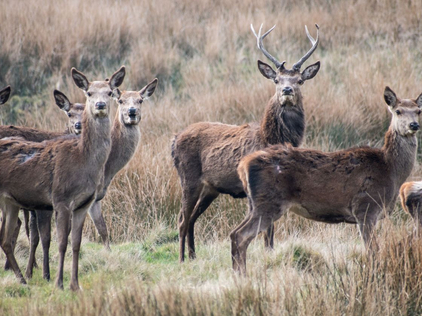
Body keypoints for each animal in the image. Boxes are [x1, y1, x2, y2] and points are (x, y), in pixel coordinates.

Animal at [0, 65, 125, 290]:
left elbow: (76, 243)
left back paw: (22, 280)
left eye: (110, 93)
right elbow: (61, 242)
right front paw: (58, 282)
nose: (100, 105)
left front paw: (75, 285)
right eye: (89, 93)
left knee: (4, 239)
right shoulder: (60, 199)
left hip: (9, 202)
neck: (82, 161)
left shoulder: (83, 204)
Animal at [171, 24, 320, 262]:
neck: (269, 137)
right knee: (182, 219)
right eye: (276, 80)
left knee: (192, 218)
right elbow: (267, 229)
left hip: (210, 188)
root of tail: (174, 140)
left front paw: (270, 253)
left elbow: (270, 229)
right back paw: (182, 259)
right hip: (188, 178)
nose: (286, 91)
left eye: (299, 80)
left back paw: (193, 256)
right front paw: (268, 255)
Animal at [232, 86, 422, 274]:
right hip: (270, 202)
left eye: (418, 111)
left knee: (235, 233)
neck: (390, 170)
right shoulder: (366, 207)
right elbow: (373, 251)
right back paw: (241, 275)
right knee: (241, 235)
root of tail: (243, 165)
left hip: (254, 204)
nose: (414, 125)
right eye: (398, 111)